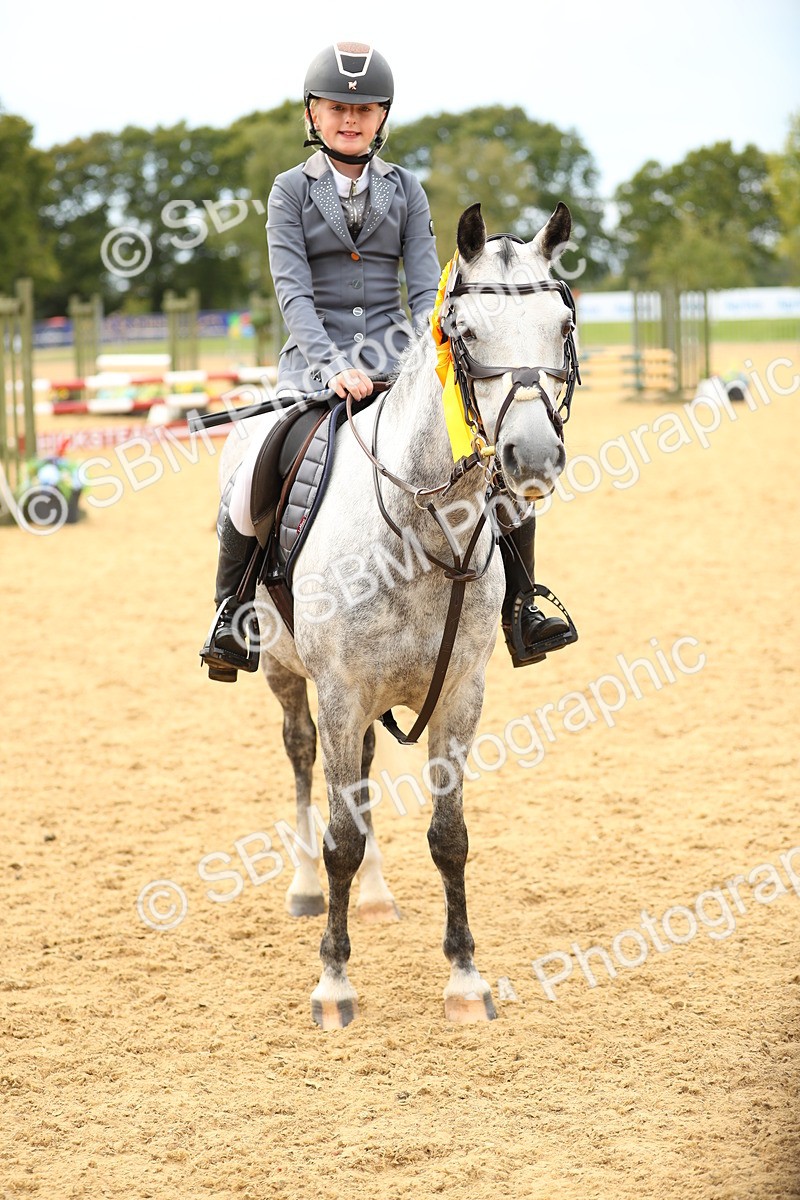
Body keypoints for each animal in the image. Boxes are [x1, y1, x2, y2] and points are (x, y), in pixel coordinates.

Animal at [218, 201, 576, 1028]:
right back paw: (305, 890)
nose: (533, 457)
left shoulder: (460, 695)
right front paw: (333, 984)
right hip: (285, 672)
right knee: (302, 761)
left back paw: (376, 898)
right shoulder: (341, 692)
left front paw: (466, 980)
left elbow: (449, 836)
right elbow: (340, 837)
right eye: (465, 332)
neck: (421, 533)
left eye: (564, 325)